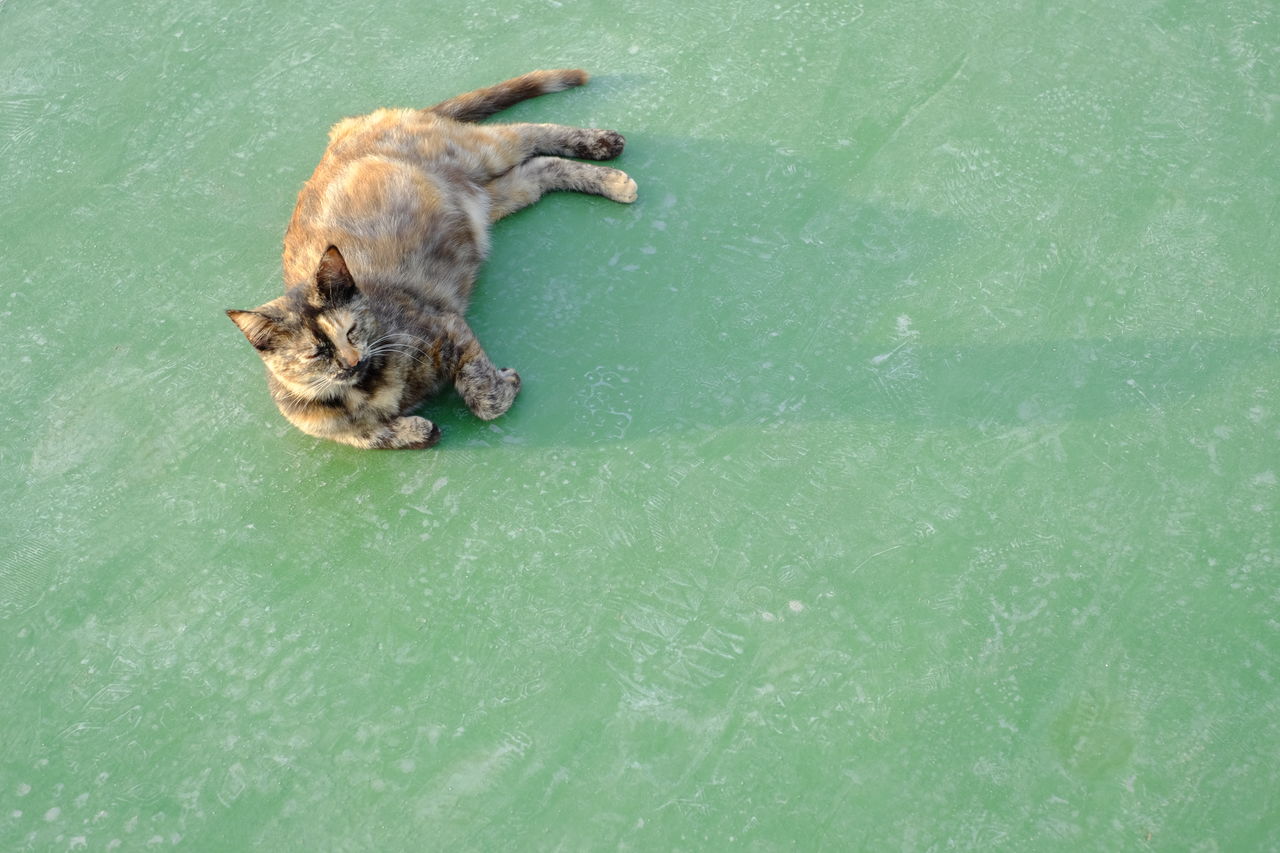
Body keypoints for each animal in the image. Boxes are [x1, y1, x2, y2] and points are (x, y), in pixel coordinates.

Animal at [227, 68, 637, 445]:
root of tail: (347, 129)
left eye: (352, 330)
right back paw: (611, 179)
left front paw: (505, 384)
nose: (353, 361)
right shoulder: (343, 432)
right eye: (317, 353)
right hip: (494, 197)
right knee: (540, 168)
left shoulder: (447, 328)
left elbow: (484, 399)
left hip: (478, 153)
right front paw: (417, 429)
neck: (365, 389)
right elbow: (378, 434)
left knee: (530, 132)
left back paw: (606, 151)